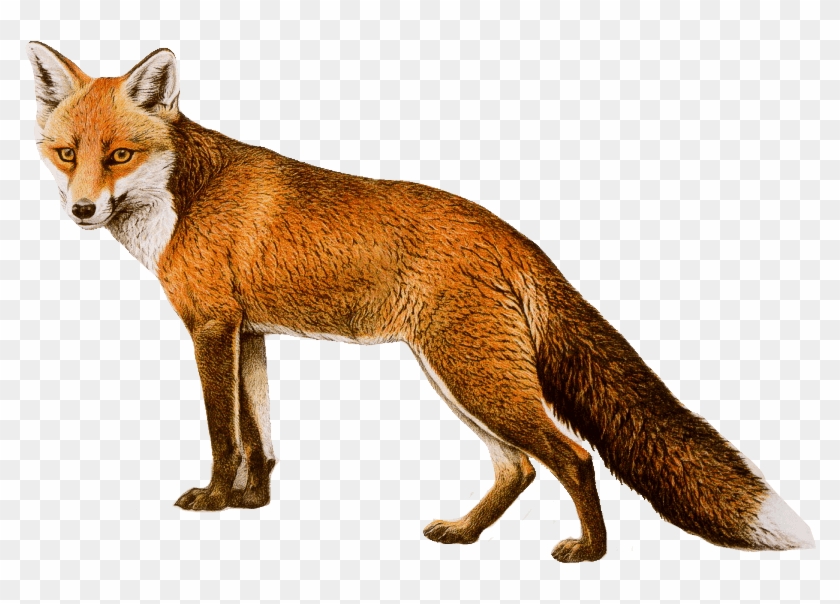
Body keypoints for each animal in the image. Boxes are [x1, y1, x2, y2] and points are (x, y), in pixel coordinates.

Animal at [26, 41, 815, 562]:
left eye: (120, 155)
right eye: (67, 154)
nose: (82, 210)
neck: (182, 200)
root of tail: (511, 235)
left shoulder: (211, 328)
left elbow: (225, 436)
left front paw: (217, 501)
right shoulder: (249, 333)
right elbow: (261, 437)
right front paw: (254, 504)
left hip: (473, 376)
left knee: (573, 456)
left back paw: (590, 552)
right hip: (457, 376)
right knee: (520, 467)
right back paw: (466, 534)